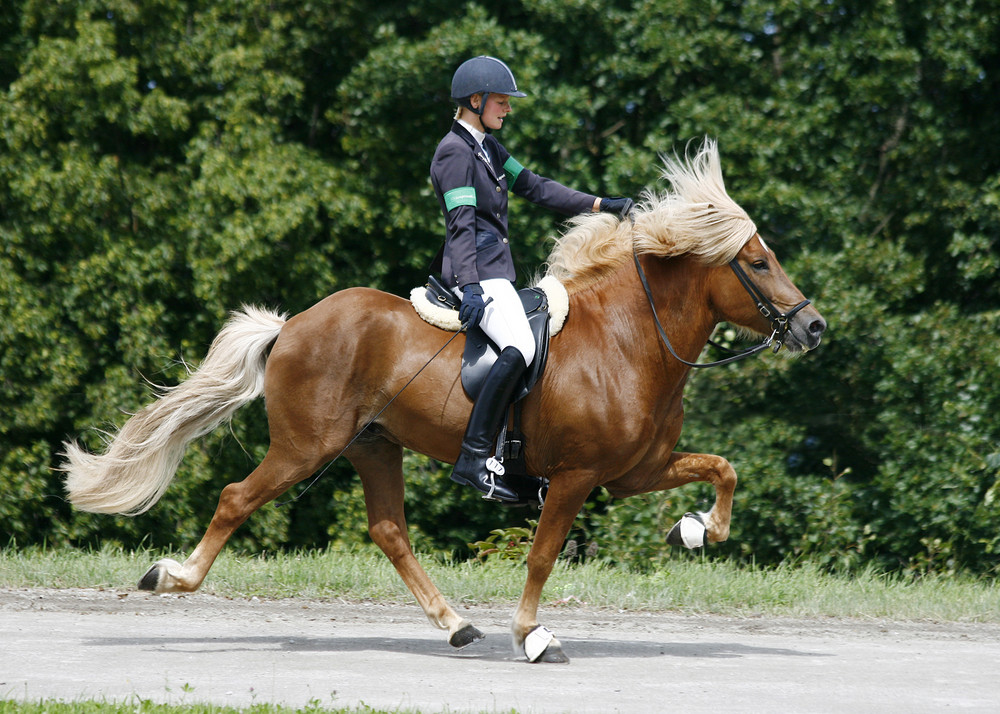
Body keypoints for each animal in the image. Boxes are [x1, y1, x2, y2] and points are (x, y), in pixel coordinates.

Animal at [62, 139, 828, 660]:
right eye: (757, 262)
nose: (814, 327)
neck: (626, 338)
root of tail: (293, 326)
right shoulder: (577, 476)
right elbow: (542, 556)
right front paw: (535, 636)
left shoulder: (631, 473)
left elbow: (723, 469)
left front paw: (696, 531)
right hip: (305, 446)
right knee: (234, 499)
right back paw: (172, 576)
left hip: (373, 445)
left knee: (389, 531)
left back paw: (455, 624)